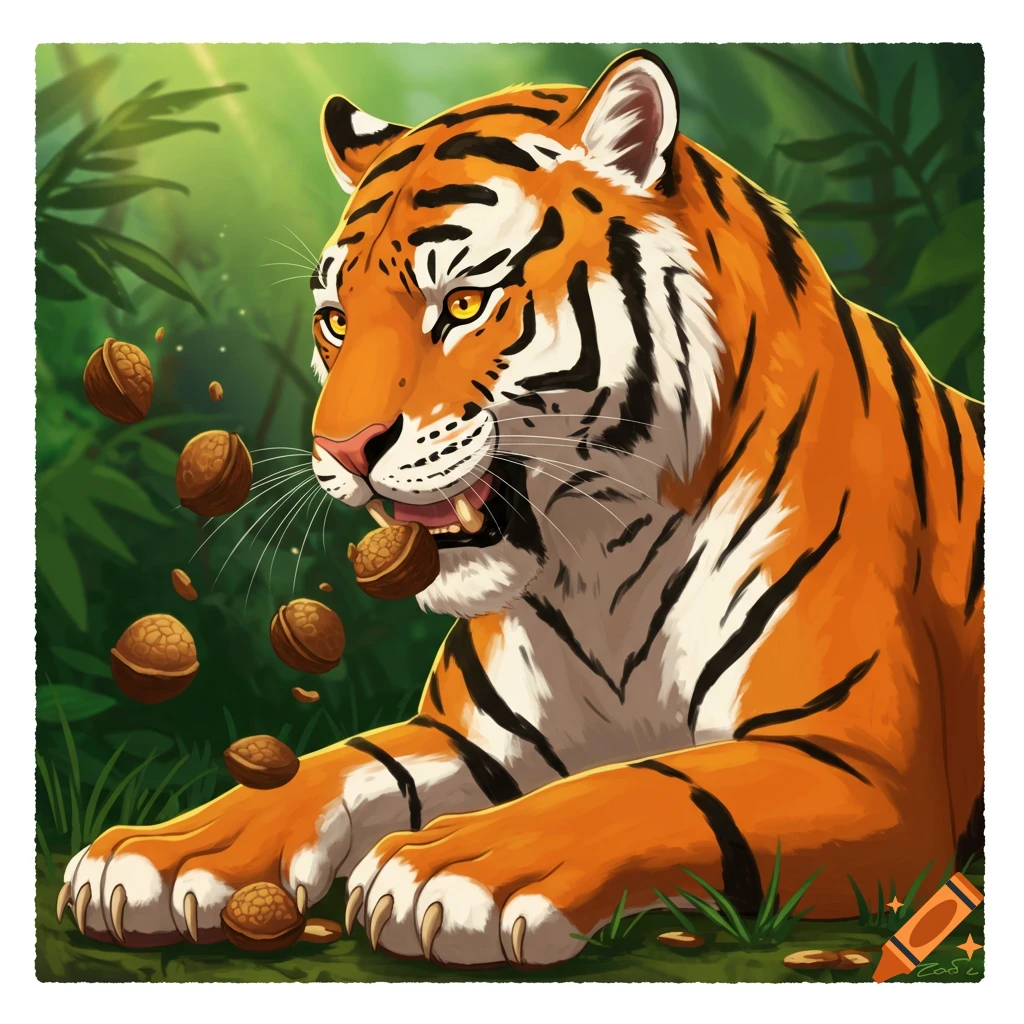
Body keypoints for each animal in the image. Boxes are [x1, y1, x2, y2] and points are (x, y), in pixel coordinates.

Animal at [60, 50, 984, 969]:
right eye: (335, 322)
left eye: (464, 306)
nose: (342, 449)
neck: (605, 558)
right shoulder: (470, 736)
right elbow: (334, 764)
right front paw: (169, 852)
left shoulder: (861, 765)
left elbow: (645, 788)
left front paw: (460, 868)